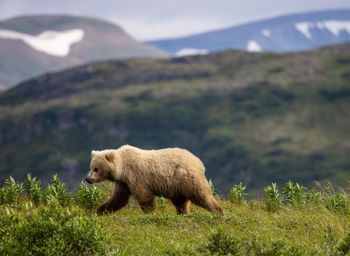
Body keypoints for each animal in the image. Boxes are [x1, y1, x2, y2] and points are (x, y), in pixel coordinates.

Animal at [86, 145, 223, 215]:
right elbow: (118, 198)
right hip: (177, 186)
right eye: (91, 167)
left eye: (96, 168)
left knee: (201, 195)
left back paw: (218, 211)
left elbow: (144, 197)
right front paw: (100, 210)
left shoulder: (136, 176)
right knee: (181, 202)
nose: (88, 179)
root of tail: (199, 162)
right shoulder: (123, 183)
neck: (122, 169)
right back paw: (183, 213)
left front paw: (150, 213)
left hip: (187, 179)